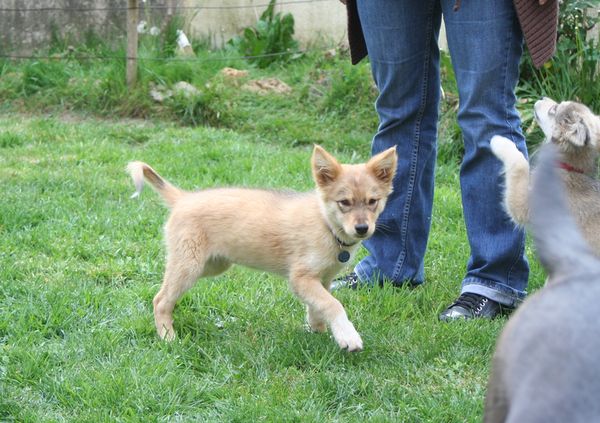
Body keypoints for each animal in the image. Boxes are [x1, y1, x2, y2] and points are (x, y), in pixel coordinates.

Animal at [127, 146, 398, 352]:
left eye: (373, 202)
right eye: (344, 203)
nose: (362, 228)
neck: (326, 225)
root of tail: (182, 198)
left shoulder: (322, 279)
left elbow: (318, 305)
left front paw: (317, 330)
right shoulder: (300, 278)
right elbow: (333, 304)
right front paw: (348, 337)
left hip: (213, 265)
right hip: (189, 265)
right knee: (160, 300)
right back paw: (168, 337)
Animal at [490, 97, 600, 253]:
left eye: (554, 109)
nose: (542, 97)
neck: (568, 168)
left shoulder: (523, 206)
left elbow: (520, 164)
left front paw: (499, 141)